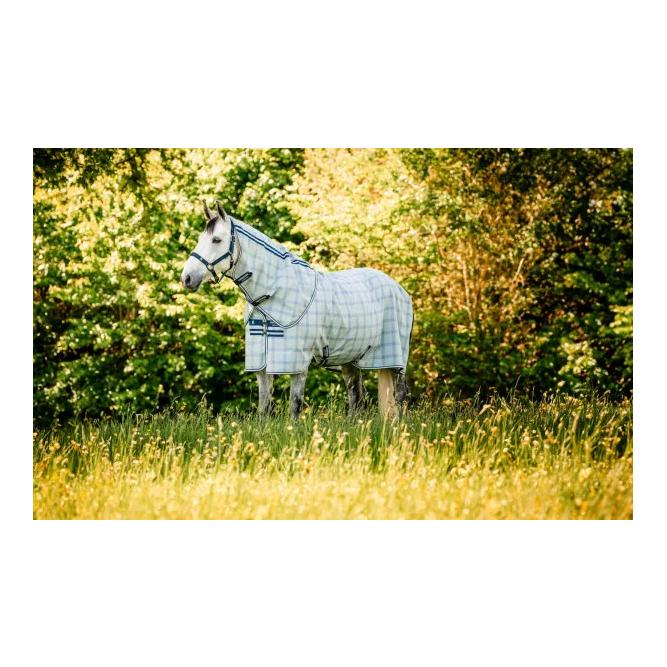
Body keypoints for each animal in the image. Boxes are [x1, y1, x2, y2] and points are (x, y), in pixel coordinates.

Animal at [180, 201, 413, 420]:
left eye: (216, 240)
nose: (187, 278)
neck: (273, 293)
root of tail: (399, 290)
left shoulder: (297, 362)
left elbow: (295, 405)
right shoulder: (262, 364)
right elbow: (264, 407)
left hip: (396, 360)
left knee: (399, 397)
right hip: (351, 360)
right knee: (357, 399)